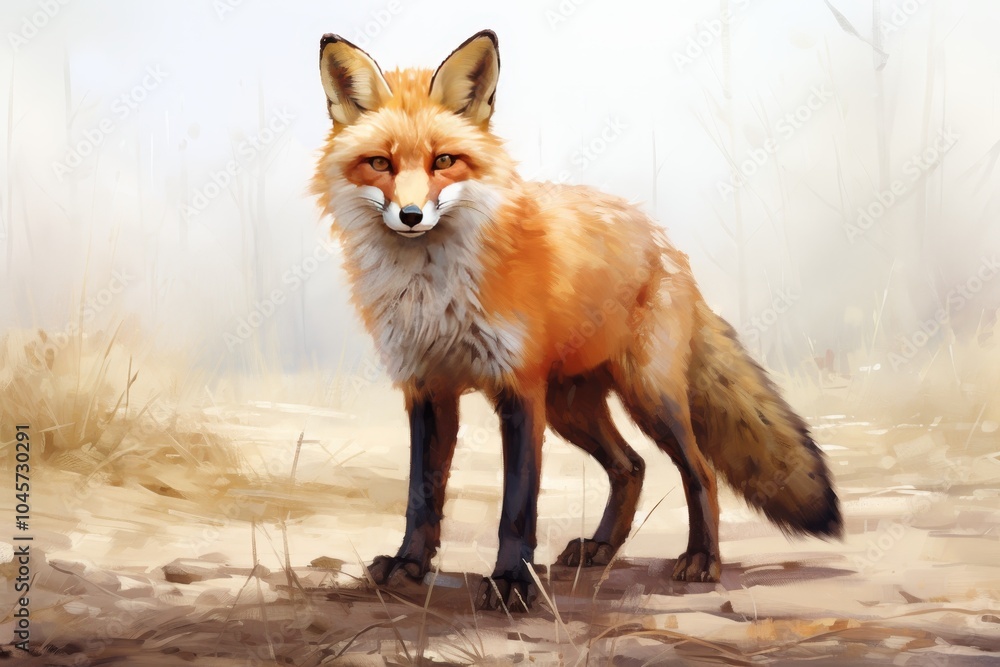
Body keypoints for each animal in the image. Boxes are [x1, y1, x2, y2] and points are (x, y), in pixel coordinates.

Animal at [312, 30, 843, 612]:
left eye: (444, 160)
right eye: (380, 164)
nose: (411, 216)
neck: (434, 289)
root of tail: (663, 242)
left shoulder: (519, 389)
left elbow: (518, 506)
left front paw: (511, 583)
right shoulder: (428, 386)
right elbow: (421, 496)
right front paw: (409, 564)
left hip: (647, 396)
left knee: (698, 470)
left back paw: (702, 559)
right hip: (572, 407)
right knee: (631, 467)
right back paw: (601, 548)